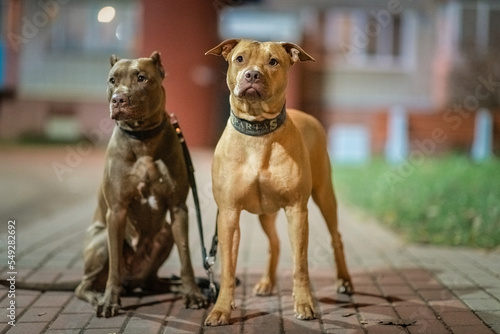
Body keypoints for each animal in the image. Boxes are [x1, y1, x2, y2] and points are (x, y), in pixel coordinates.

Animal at [205, 39, 354, 326]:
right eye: (239, 59)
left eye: (273, 61)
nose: (252, 75)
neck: (258, 132)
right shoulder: (228, 214)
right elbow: (228, 268)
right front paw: (221, 309)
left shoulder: (297, 210)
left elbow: (300, 265)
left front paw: (304, 304)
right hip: (266, 213)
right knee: (274, 244)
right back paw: (266, 282)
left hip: (324, 195)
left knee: (336, 237)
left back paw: (344, 281)